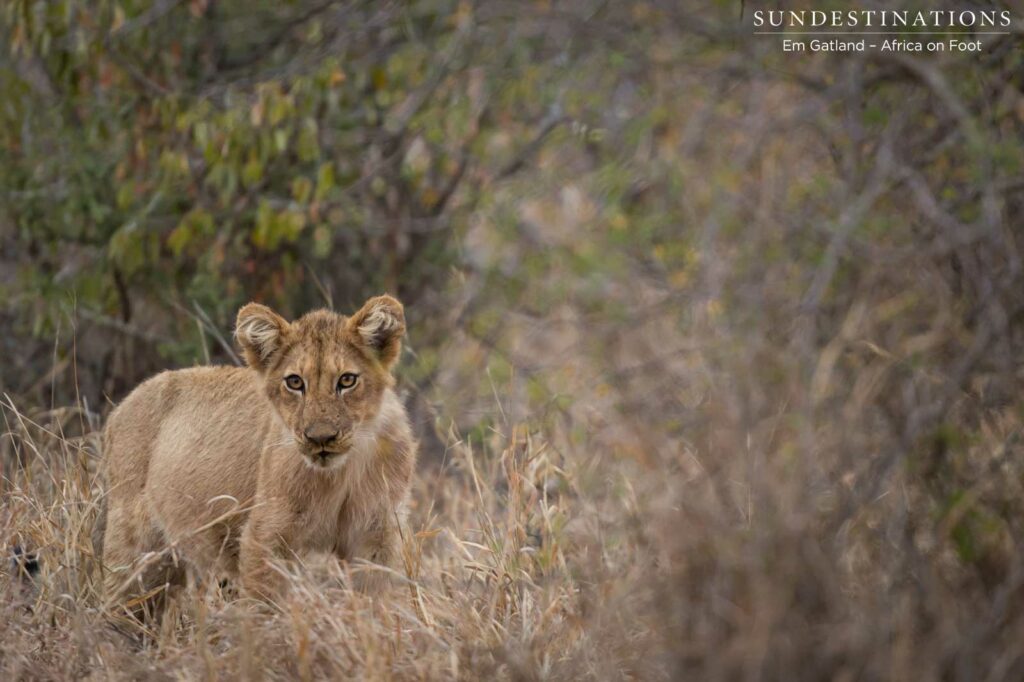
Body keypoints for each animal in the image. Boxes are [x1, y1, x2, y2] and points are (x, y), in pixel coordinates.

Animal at [92, 295, 416, 604]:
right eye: (295, 382)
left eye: (347, 380)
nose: (320, 438)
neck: (341, 473)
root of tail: (119, 407)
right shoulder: (266, 534)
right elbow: (264, 606)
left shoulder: (377, 534)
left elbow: (378, 600)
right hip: (133, 551)